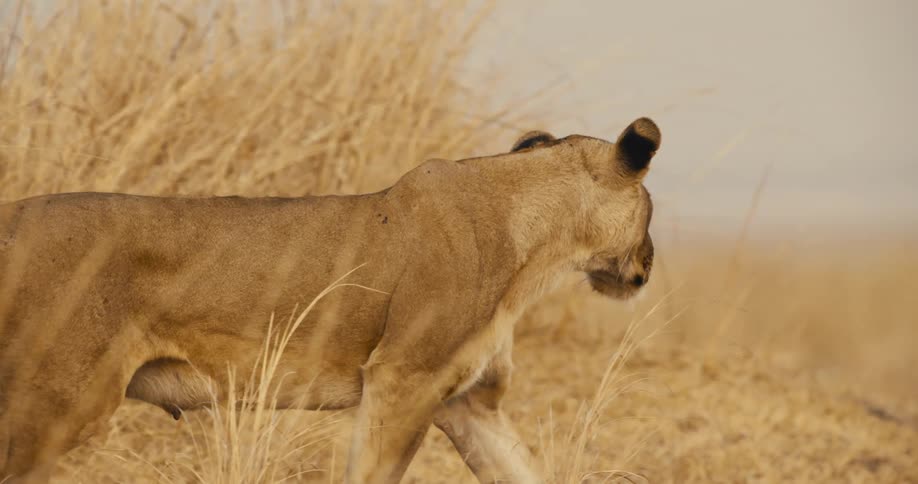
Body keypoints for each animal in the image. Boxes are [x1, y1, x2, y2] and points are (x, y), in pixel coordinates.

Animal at [0, 117, 660, 483]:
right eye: (652, 211)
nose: (650, 260)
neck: (536, 243)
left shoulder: (468, 402)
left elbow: (524, 469)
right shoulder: (404, 378)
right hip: (54, 400)